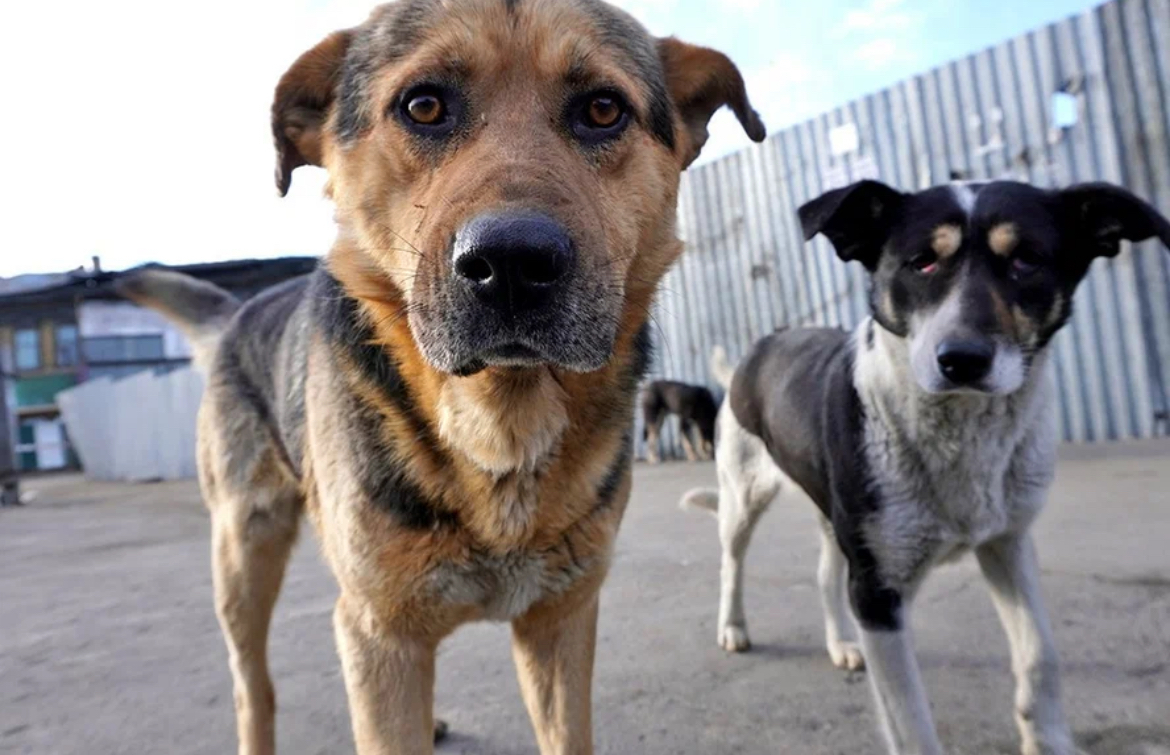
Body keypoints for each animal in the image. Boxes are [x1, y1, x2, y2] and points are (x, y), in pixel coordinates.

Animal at [118, 1, 767, 753]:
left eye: (603, 110)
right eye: (423, 105)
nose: (513, 263)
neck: (499, 427)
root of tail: (238, 311)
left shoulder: (559, 621)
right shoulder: (378, 631)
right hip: (243, 555)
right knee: (254, 686)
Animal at [683, 177, 1170, 753]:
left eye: (1026, 260)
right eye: (922, 262)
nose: (962, 359)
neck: (961, 431)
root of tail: (760, 346)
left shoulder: (1007, 543)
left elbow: (1041, 654)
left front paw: (1048, 740)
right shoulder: (878, 594)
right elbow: (911, 722)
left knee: (825, 572)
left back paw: (840, 643)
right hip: (743, 495)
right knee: (731, 561)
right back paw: (733, 628)